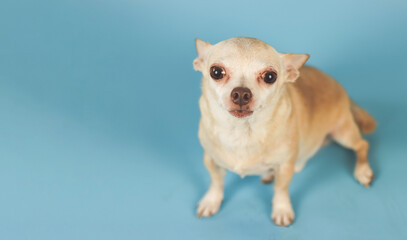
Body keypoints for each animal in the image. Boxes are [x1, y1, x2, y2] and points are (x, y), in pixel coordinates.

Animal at [193, 36, 378, 226]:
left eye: (270, 77)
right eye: (216, 72)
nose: (242, 93)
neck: (243, 132)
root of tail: (342, 90)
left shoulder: (284, 166)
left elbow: (281, 189)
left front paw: (281, 209)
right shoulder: (211, 160)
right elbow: (216, 182)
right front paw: (211, 201)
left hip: (343, 133)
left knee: (362, 145)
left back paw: (363, 171)